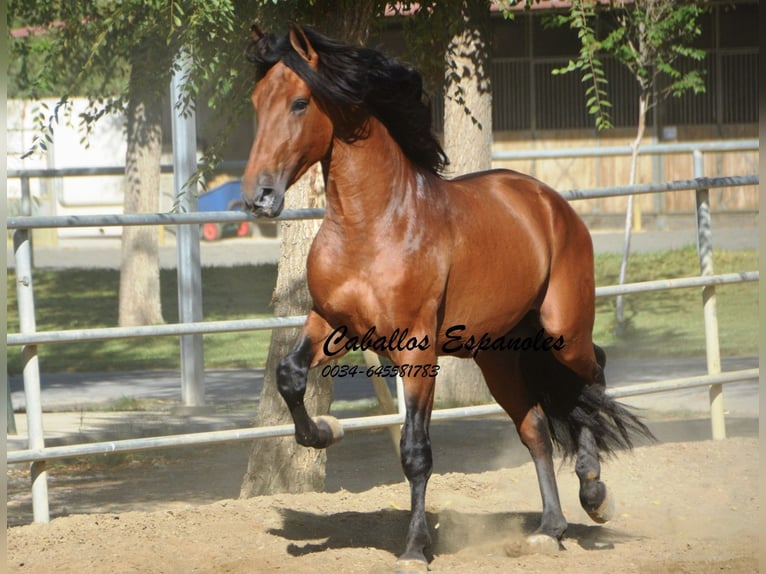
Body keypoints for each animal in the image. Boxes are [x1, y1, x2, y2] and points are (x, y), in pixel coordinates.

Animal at [242, 23, 656, 572]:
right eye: (255, 102)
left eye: (299, 102)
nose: (258, 197)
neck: (374, 224)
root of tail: (550, 203)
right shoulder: (331, 321)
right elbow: (289, 375)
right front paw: (327, 430)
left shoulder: (416, 349)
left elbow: (416, 451)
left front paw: (416, 548)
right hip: (498, 355)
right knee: (537, 426)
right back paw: (549, 529)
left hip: (563, 331)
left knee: (593, 378)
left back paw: (594, 494)